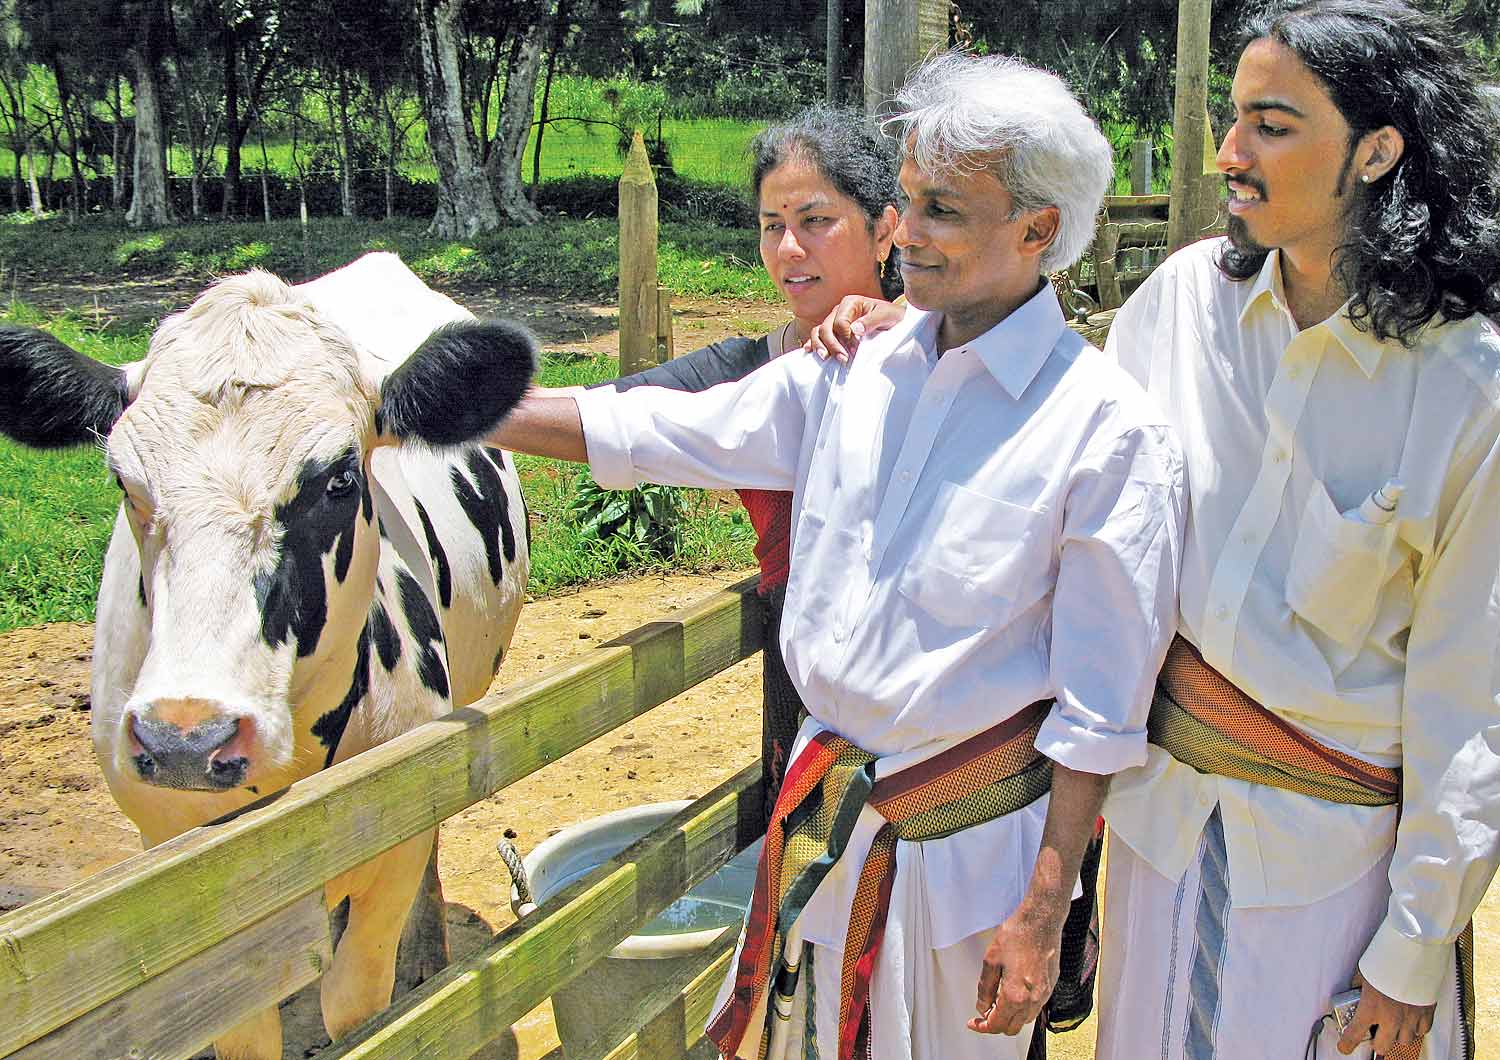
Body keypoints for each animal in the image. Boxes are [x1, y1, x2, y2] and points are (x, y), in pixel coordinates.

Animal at [0, 254, 537, 1060]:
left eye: (339, 479)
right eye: (123, 480)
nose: (186, 740)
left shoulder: (398, 823)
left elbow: (358, 1003)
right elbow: (246, 1032)